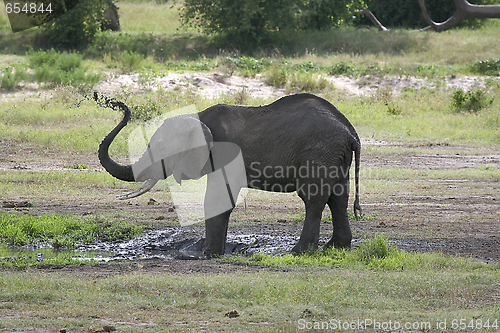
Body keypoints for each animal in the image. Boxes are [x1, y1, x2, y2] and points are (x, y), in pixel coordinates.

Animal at [97, 92, 362, 256]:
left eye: (159, 147)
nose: (117, 105)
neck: (198, 118)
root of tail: (351, 133)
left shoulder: (224, 152)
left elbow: (217, 199)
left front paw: (208, 253)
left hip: (320, 152)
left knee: (313, 199)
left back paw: (299, 252)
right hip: (335, 156)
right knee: (338, 198)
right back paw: (335, 248)